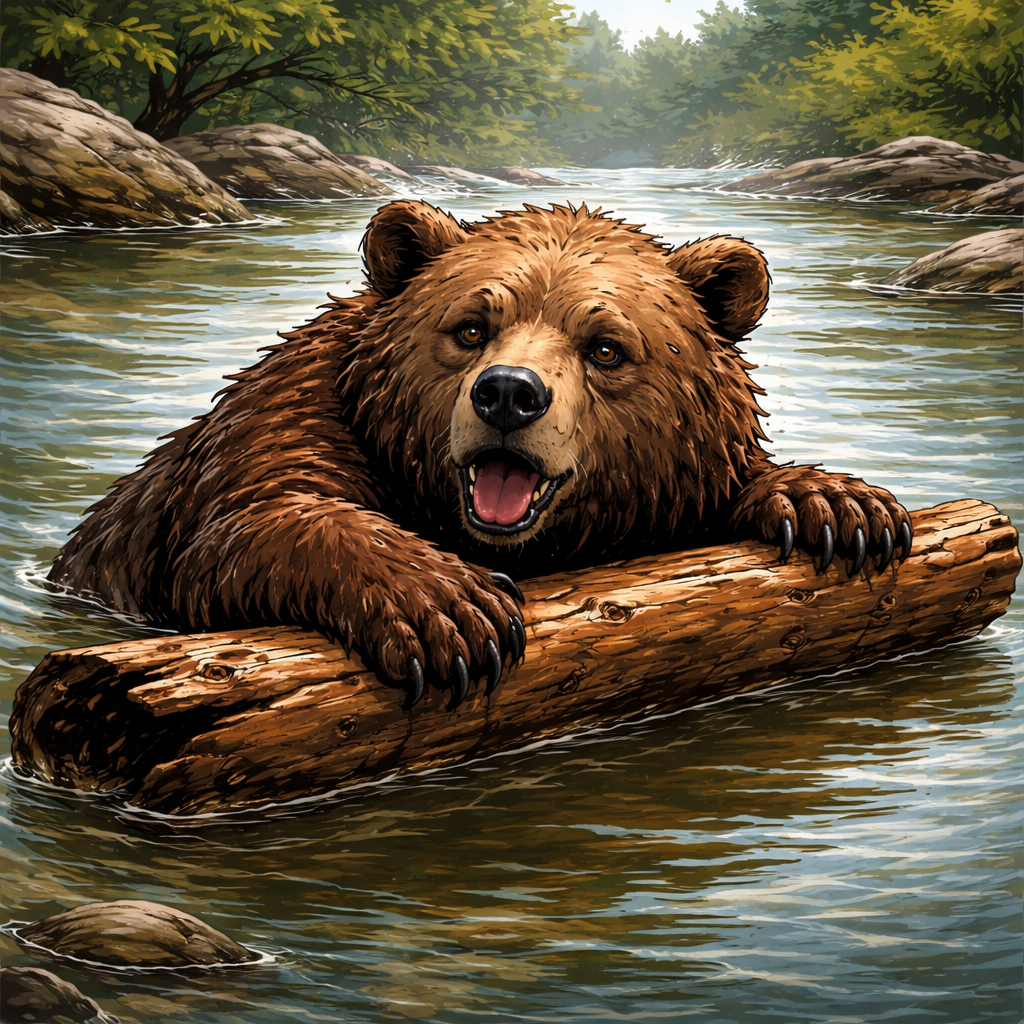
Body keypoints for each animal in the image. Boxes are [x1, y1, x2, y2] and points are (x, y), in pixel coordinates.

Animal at [49, 200, 912, 710]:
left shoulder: (670, 478)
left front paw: (837, 504)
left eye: (605, 346)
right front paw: (449, 609)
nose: (508, 395)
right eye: (470, 326)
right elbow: (252, 523)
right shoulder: (292, 418)